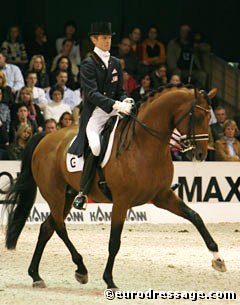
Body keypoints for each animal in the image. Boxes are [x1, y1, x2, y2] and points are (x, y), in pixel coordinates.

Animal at [2, 85, 226, 288]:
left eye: (209, 118)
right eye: (197, 117)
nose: (201, 154)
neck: (144, 145)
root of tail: (45, 138)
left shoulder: (162, 196)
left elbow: (195, 216)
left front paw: (218, 259)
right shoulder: (121, 202)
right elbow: (114, 242)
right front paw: (109, 280)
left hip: (68, 194)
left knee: (47, 227)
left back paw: (36, 275)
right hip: (55, 194)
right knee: (59, 227)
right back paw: (81, 269)